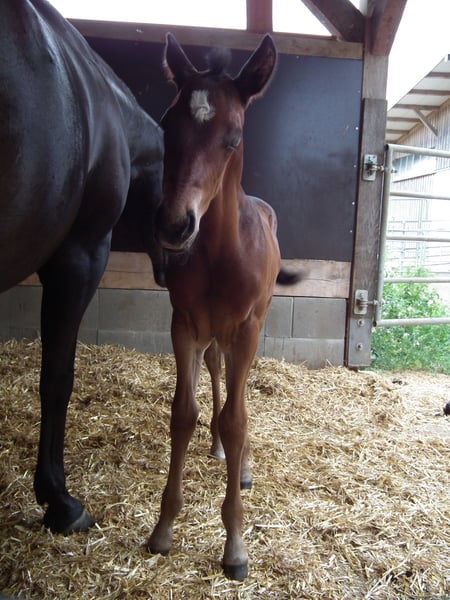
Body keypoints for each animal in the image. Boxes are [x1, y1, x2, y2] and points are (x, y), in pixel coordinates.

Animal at [148, 33, 297, 581]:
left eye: (232, 138)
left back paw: (243, 462)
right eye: (167, 125)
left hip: (252, 324)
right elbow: (183, 413)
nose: (175, 225)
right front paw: (164, 527)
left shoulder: (247, 327)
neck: (217, 253)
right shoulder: (184, 323)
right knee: (215, 369)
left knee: (240, 391)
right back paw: (214, 446)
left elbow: (238, 418)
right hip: (214, 331)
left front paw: (235, 546)